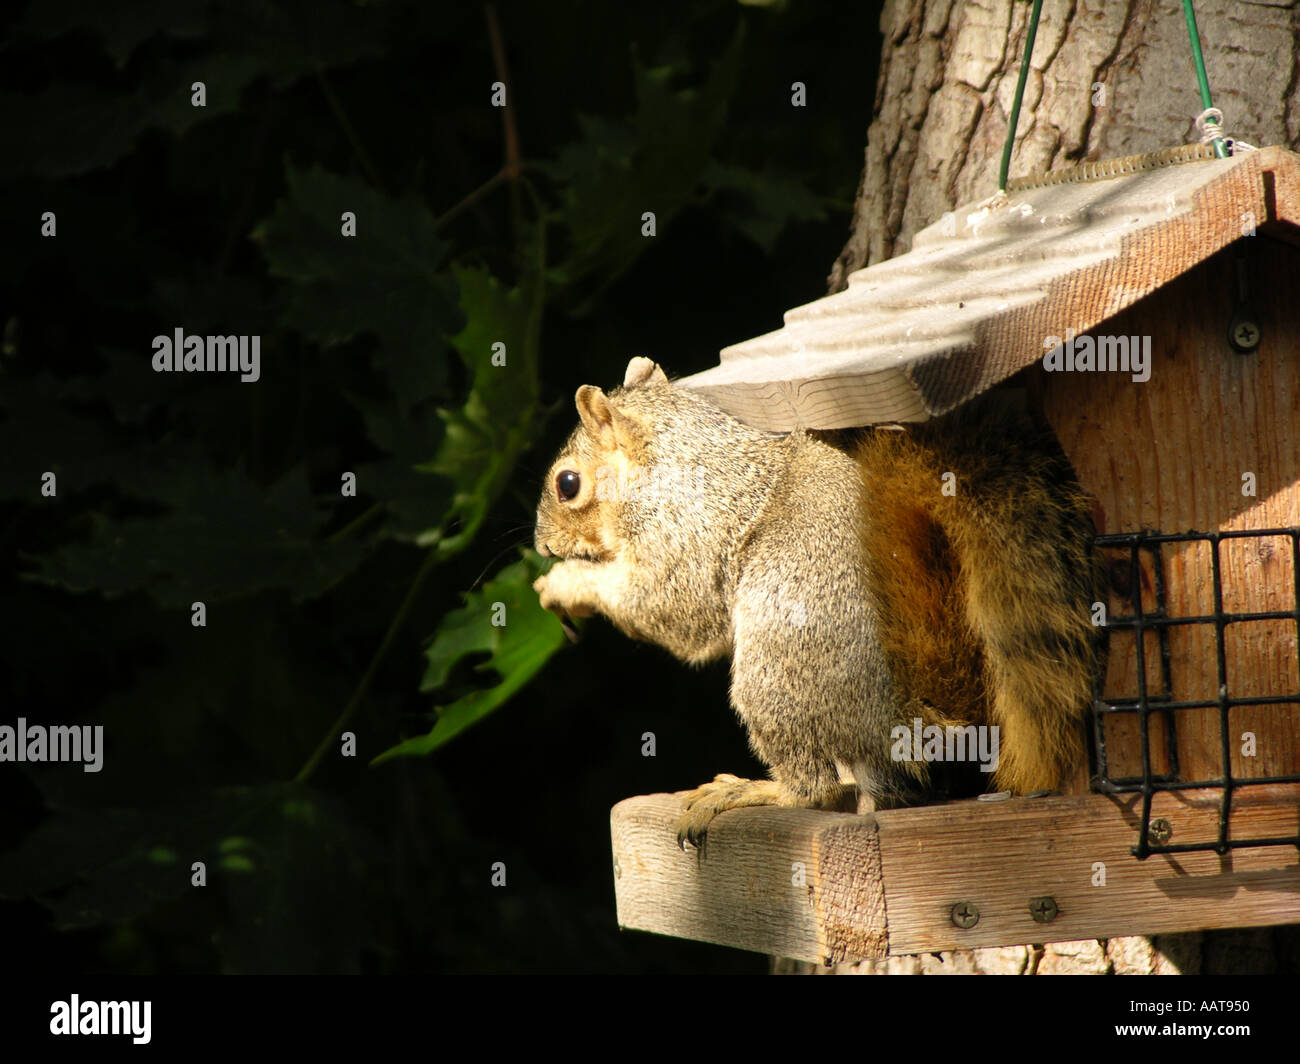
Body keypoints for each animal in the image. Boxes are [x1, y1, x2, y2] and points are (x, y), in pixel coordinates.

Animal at [533, 356, 1102, 848]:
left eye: (568, 483)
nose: (542, 547)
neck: (670, 462)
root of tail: (922, 719)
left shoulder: (682, 535)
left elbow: (669, 611)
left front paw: (564, 584)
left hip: (778, 668)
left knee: (815, 790)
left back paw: (752, 791)